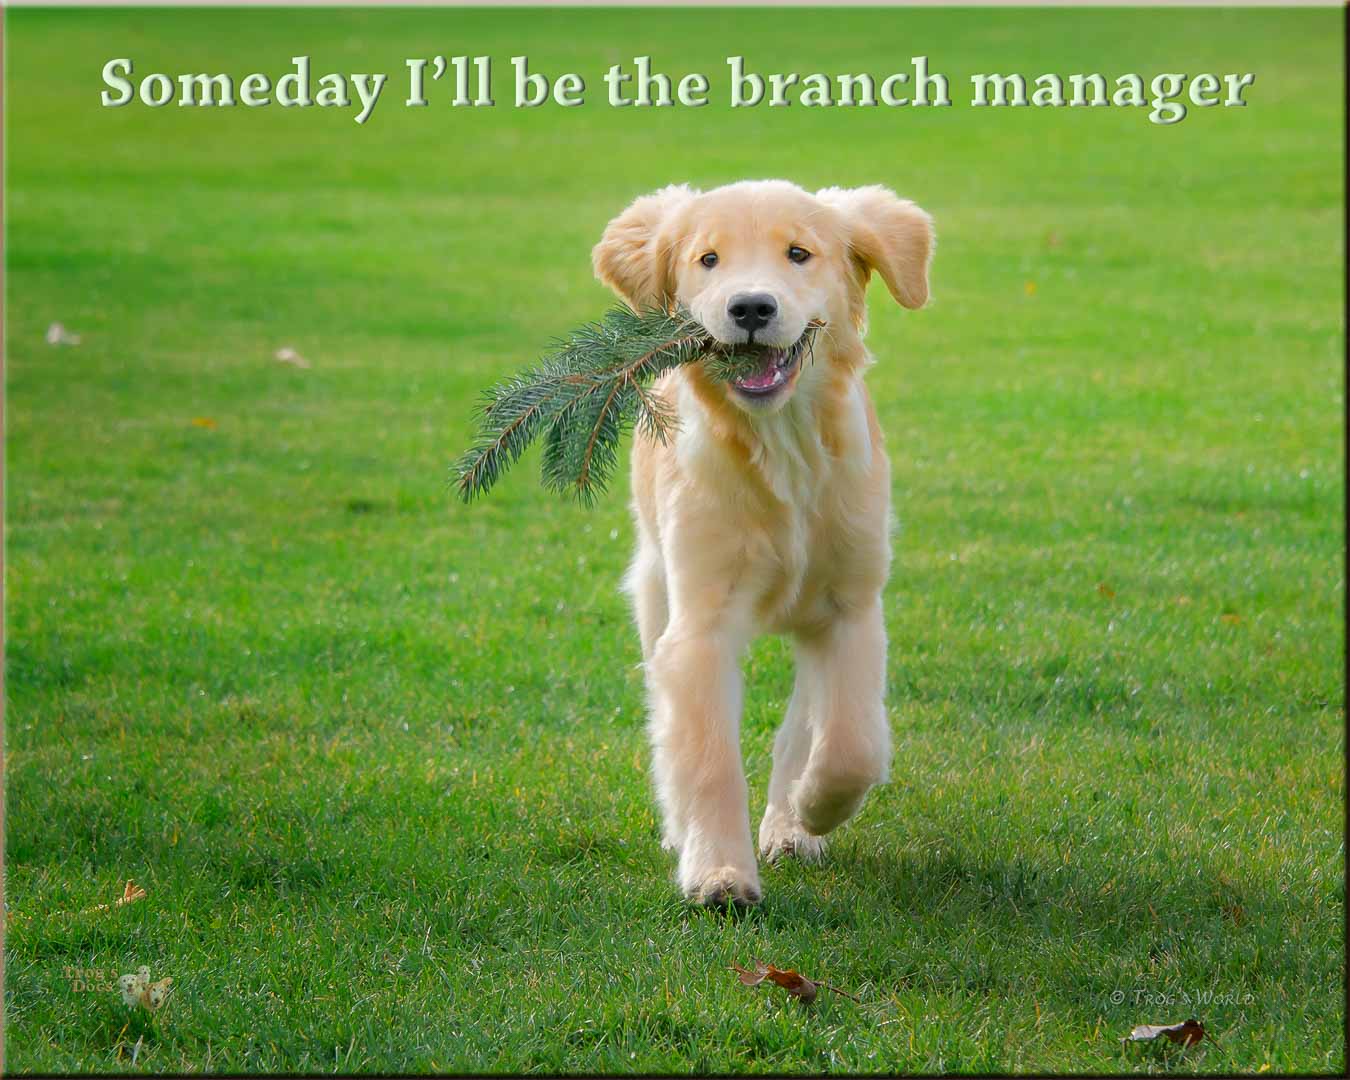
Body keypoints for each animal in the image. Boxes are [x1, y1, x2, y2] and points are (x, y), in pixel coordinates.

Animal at [596, 179, 934, 901]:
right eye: (709, 259)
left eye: (798, 253)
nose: (751, 306)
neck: (785, 452)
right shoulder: (701, 625)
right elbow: (706, 756)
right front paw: (718, 873)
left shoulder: (852, 607)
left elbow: (852, 742)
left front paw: (813, 808)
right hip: (655, 586)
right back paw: (685, 831)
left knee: (807, 718)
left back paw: (790, 823)